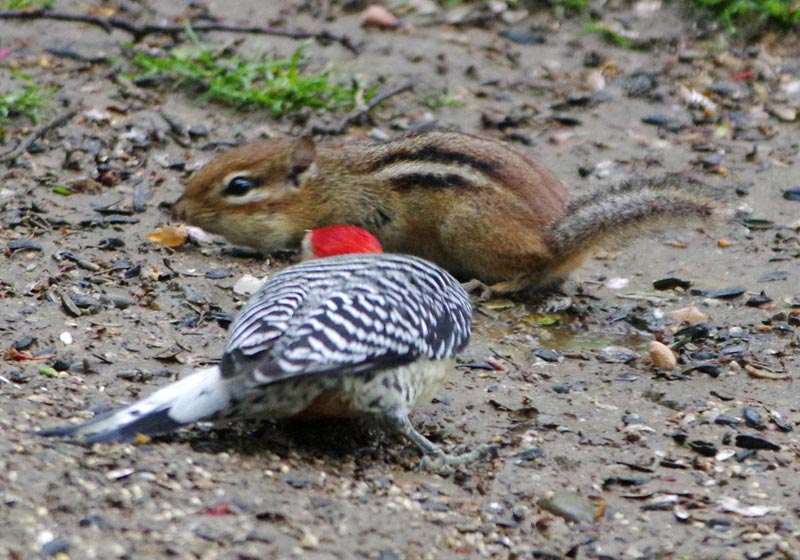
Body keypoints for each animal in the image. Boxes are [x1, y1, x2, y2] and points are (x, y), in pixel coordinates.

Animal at [172, 130, 718, 295]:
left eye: (239, 187)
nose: (176, 206)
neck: (326, 185)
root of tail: (559, 237)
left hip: (467, 229)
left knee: (529, 272)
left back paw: (493, 288)